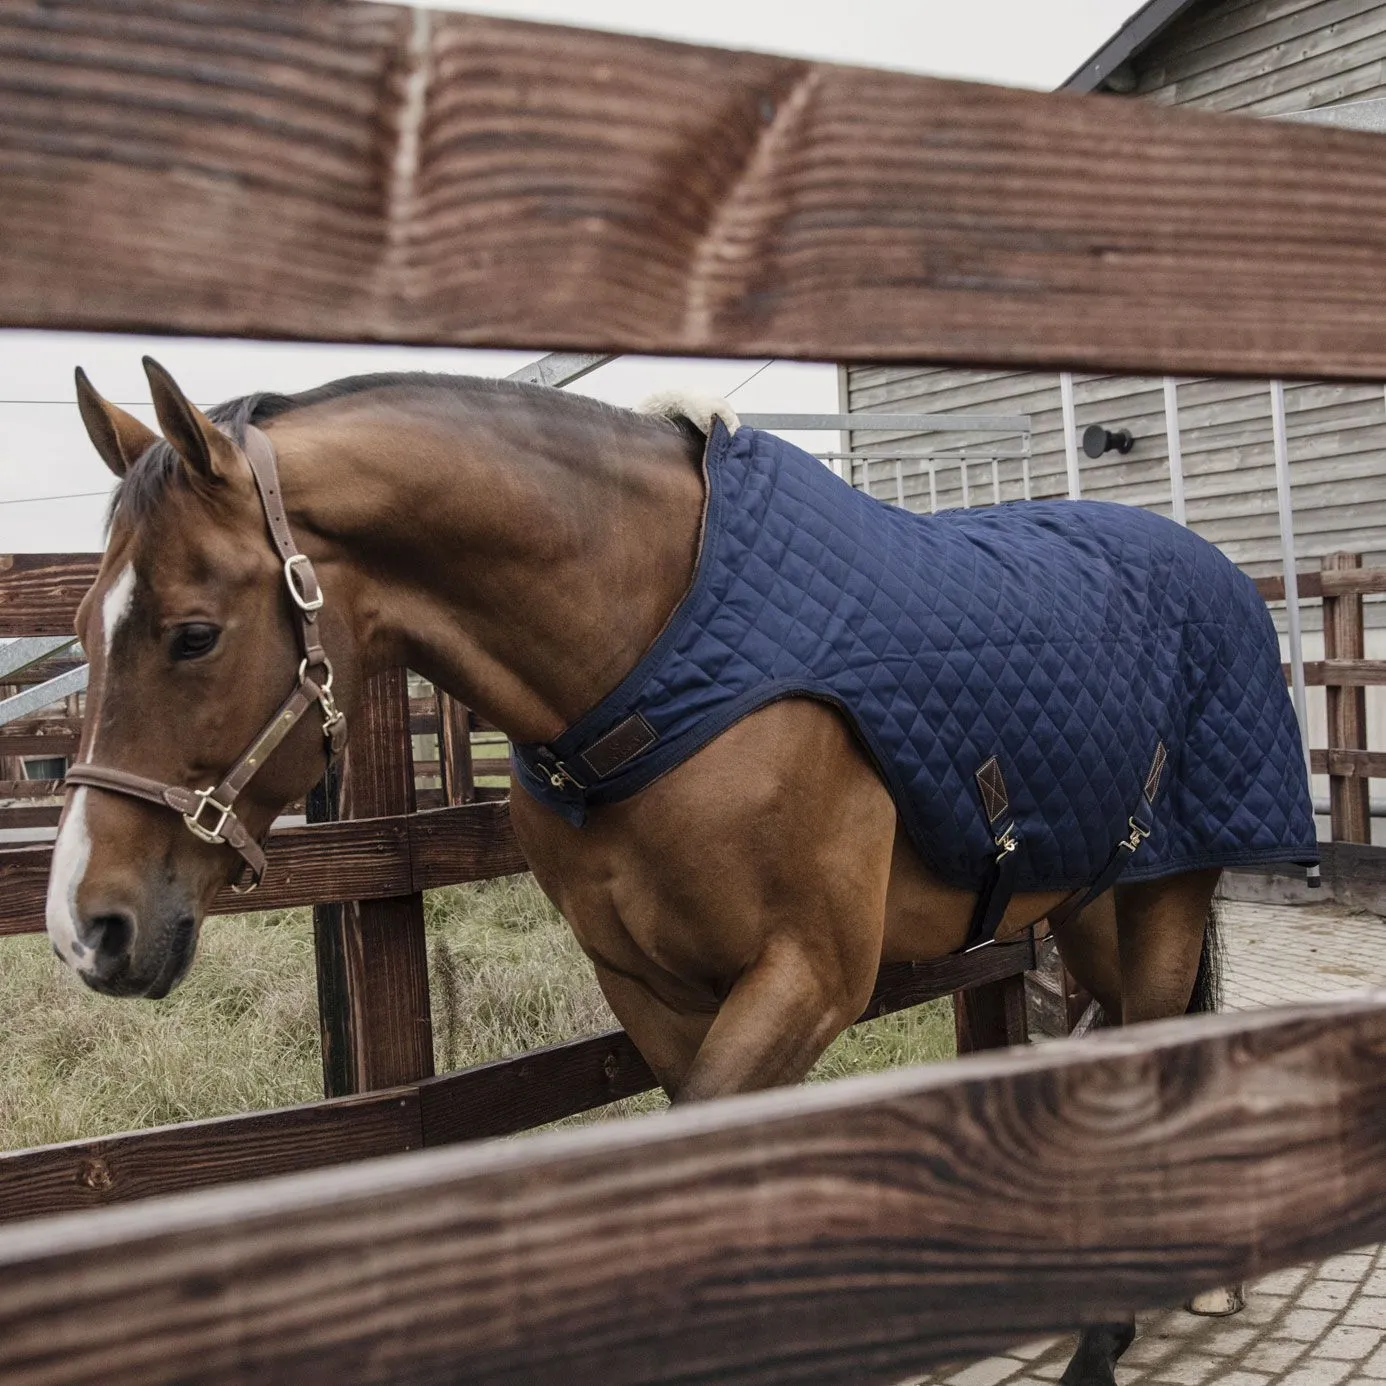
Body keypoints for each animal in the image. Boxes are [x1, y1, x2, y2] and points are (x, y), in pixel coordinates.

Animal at [46, 360, 1297, 1386]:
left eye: (193, 633)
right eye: (86, 622)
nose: (86, 926)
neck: (655, 653)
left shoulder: (807, 977)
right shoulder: (648, 986)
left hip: (1165, 892)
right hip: (1089, 902)